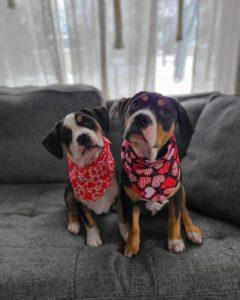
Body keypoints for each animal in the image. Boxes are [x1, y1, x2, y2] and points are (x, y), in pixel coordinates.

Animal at [42, 107, 127, 246]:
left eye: (87, 122)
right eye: (66, 134)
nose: (82, 137)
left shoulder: (119, 195)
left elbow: (122, 216)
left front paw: (126, 233)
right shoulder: (80, 201)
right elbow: (89, 220)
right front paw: (93, 238)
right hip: (69, 192)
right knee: (70, 209)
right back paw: (73, 224)